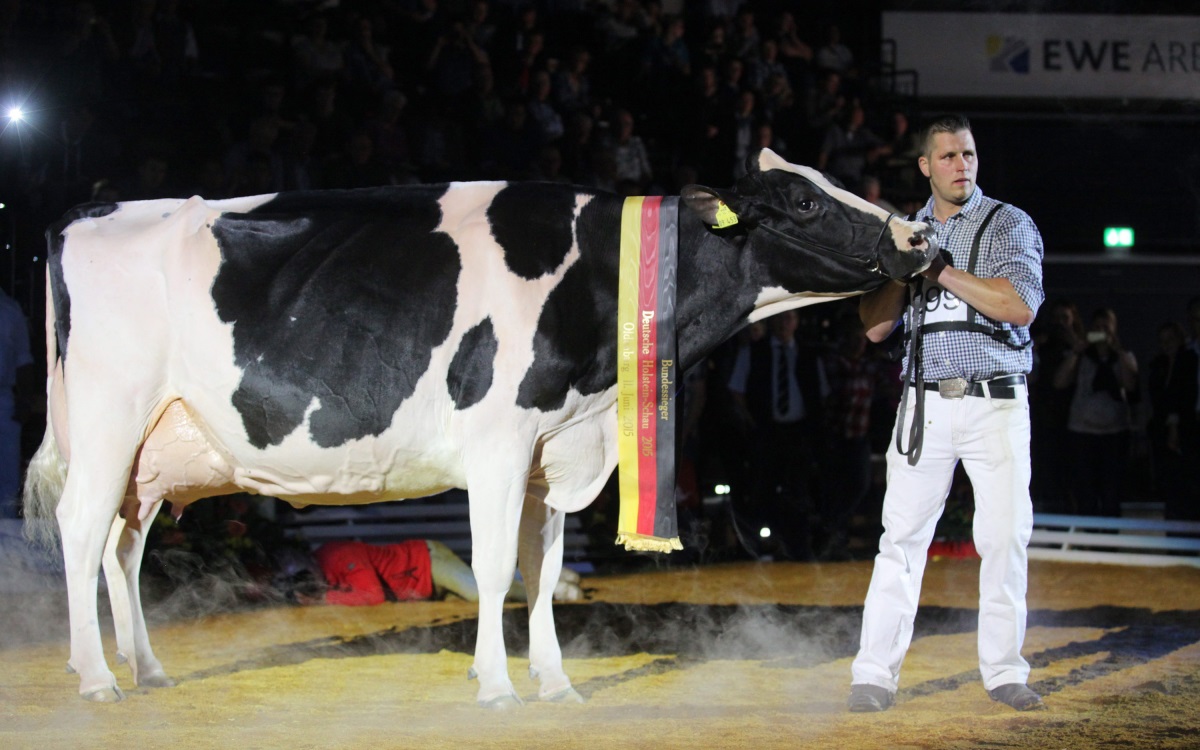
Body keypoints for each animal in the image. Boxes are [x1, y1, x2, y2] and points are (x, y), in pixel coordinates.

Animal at [23, 149, 931, 705]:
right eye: (806, 200)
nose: (918, 235)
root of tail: (87, 213)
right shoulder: (498, 442)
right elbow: (497, 571)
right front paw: (498, 688)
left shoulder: (552, 454)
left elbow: (544, 573)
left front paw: (556, 684)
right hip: (107, 419)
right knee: (81, 532)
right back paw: (95, 677)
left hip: (151, 452)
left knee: (123, 546)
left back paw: (146, 669)